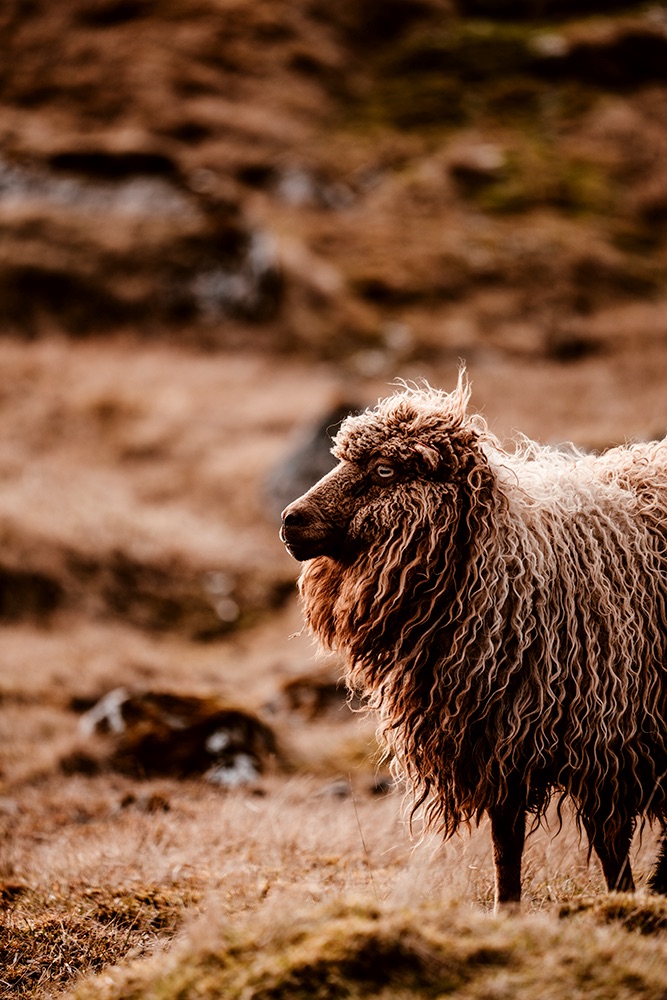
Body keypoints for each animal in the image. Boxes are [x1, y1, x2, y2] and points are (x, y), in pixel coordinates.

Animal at [280, 372, 667, 908]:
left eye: (383, 470)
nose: (290, 520)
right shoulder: (495, 738)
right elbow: (506, 842)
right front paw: (508, 911)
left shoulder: (607, 732)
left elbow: (608, 843)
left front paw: (623, 902)